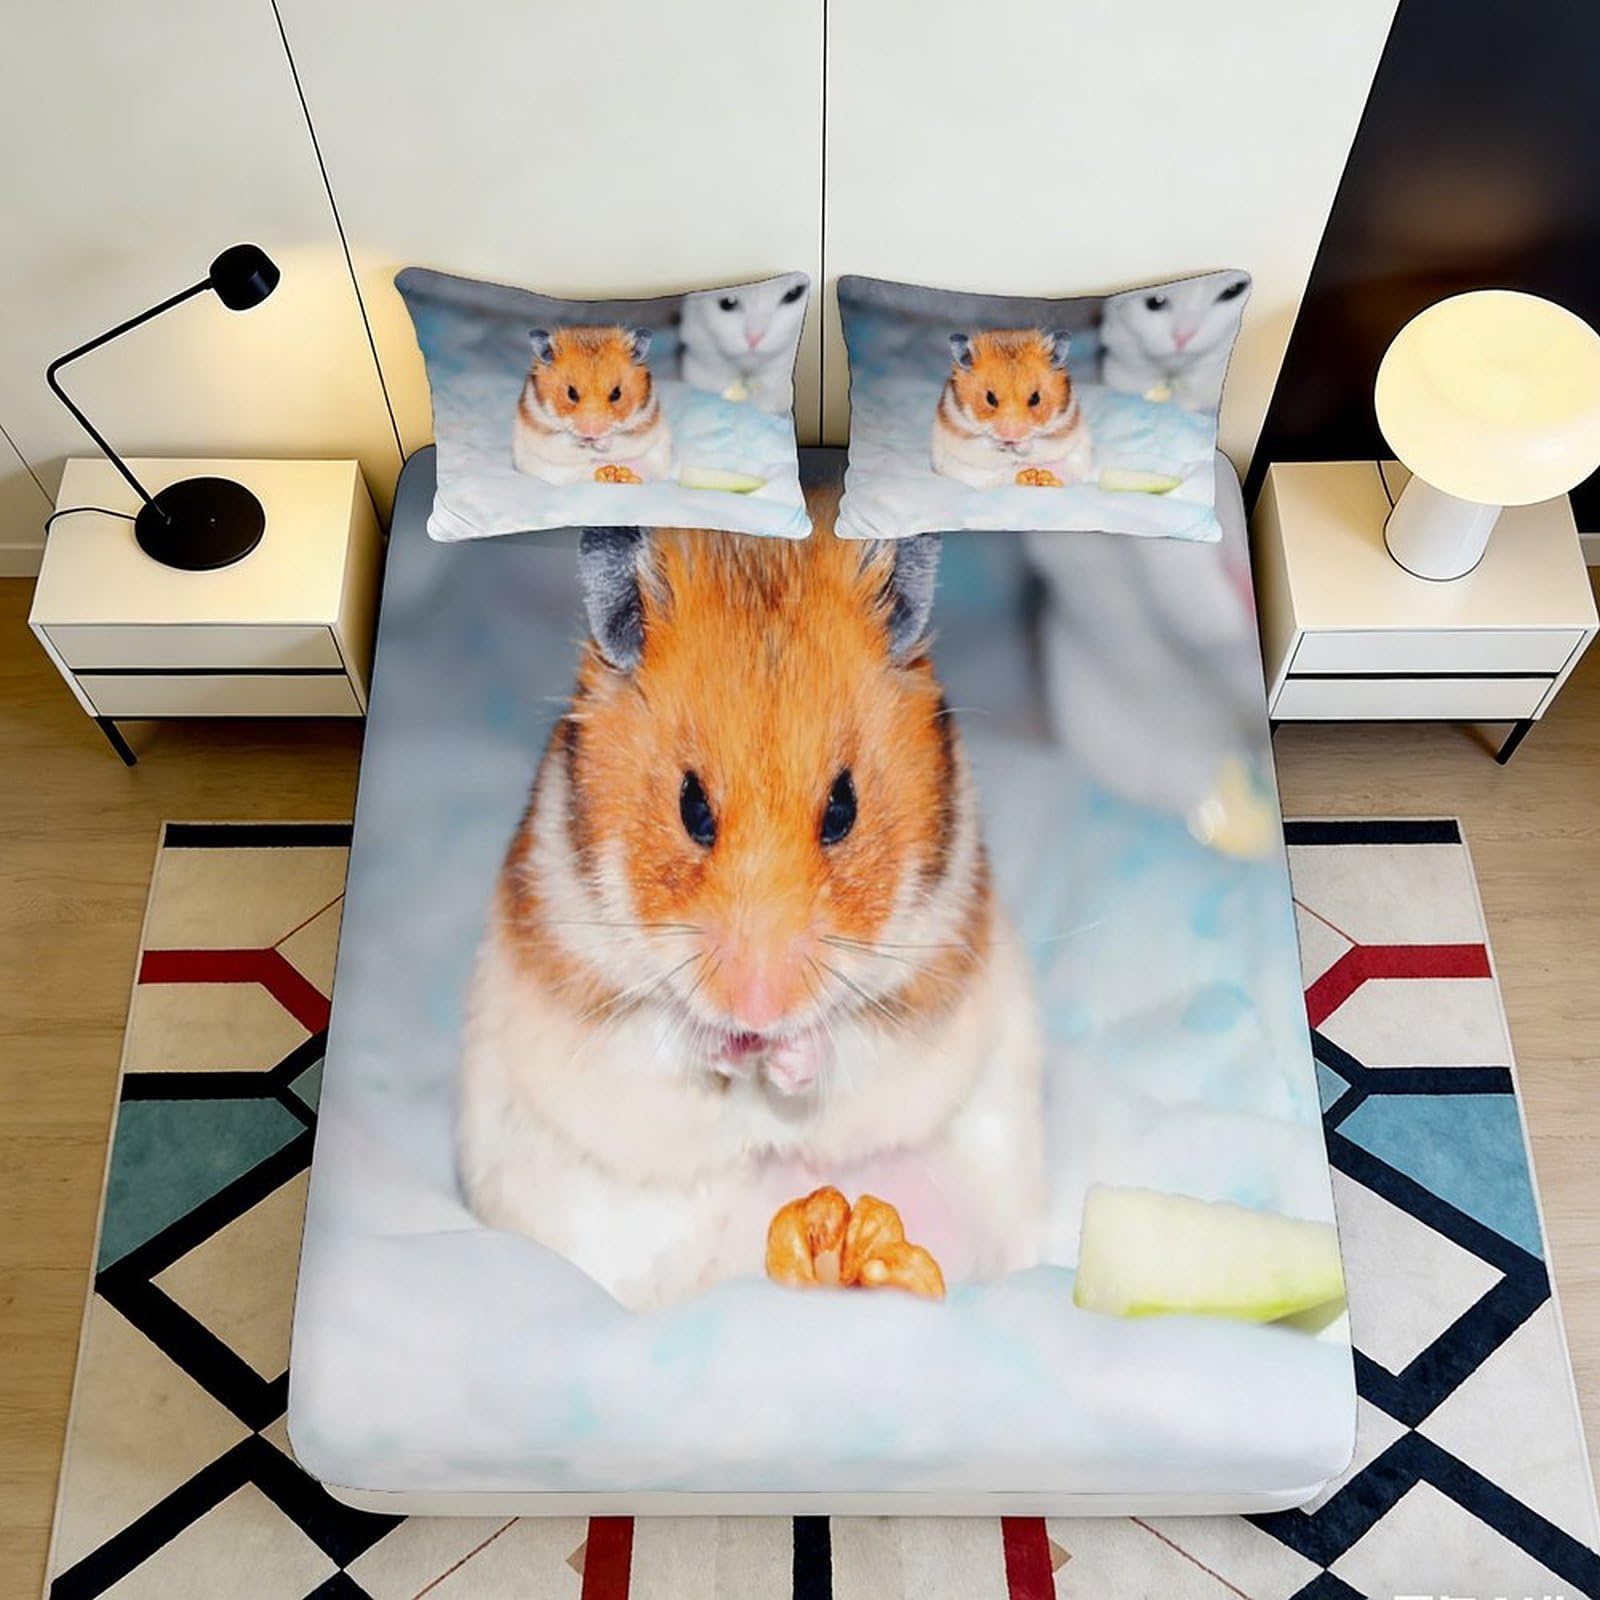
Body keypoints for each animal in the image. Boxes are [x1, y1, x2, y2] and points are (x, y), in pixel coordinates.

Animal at [457, 521, 1044, 1310]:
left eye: (843, 808)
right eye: (692, 807)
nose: (759, 1013)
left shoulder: (927, 975)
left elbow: (850, 1042)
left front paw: (788, 1054)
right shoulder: (584, 981)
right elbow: (665, 1035)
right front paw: (727, 1045)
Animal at [511, 325, 672, 486]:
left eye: (616, 393)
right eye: (571, 393)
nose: (591, 434)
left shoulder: (638, 428)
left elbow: (615, 439)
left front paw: (600, 442)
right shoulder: (545, 430)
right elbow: (566, 438)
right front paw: (582, 440)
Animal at [931, 328, 1093, 490]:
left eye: (1035, 398)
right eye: (990, 398)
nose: (1011, 437)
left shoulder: (1059, 431)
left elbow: (1034, 444)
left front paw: (1019, 445)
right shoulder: (963, 434)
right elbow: (986, 442)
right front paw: (1000, 443)